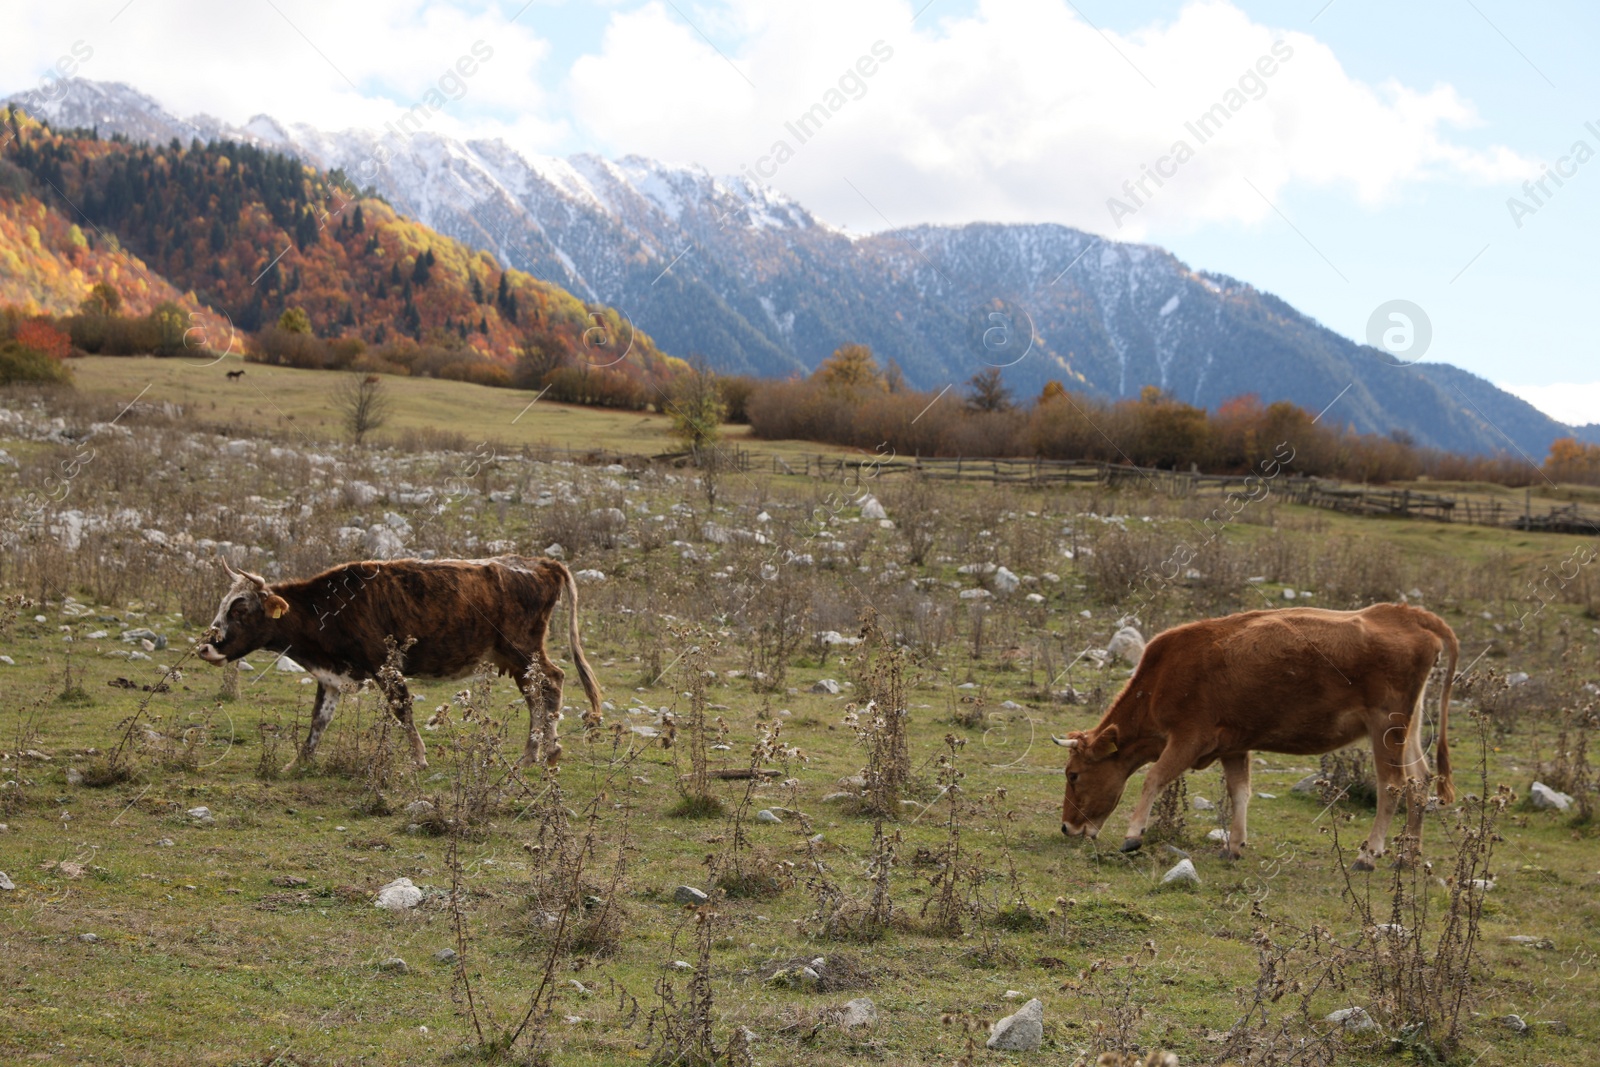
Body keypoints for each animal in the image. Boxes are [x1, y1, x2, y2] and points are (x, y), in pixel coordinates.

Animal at [200, 556, 601, 771]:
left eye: (239, 609)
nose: (206, 647)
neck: (330, 606)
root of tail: (541, 564)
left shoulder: (384, 666)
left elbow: (401, 708)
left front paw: (419, 759)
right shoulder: (331, 677)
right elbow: (318, 720)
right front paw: (298, 762)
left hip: (522, 649)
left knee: (551, 683)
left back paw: (546, 752)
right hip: (516, 659)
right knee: (539, 693)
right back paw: (536, 754)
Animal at [1056, 604, 1459, 870]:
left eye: (1073, 775)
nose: (1066, 827)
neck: (1160, 679)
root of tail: (1407, 614)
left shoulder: (1189, 737)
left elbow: (1153, 778)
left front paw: (1133, 833)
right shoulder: (1233, 746)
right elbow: (1240, 792)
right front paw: (1234, 845)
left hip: (1385, 727)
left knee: (1393, 785)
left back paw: (1368, 855)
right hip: (1407, 728)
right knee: (1420, 782)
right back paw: (1408, 856)